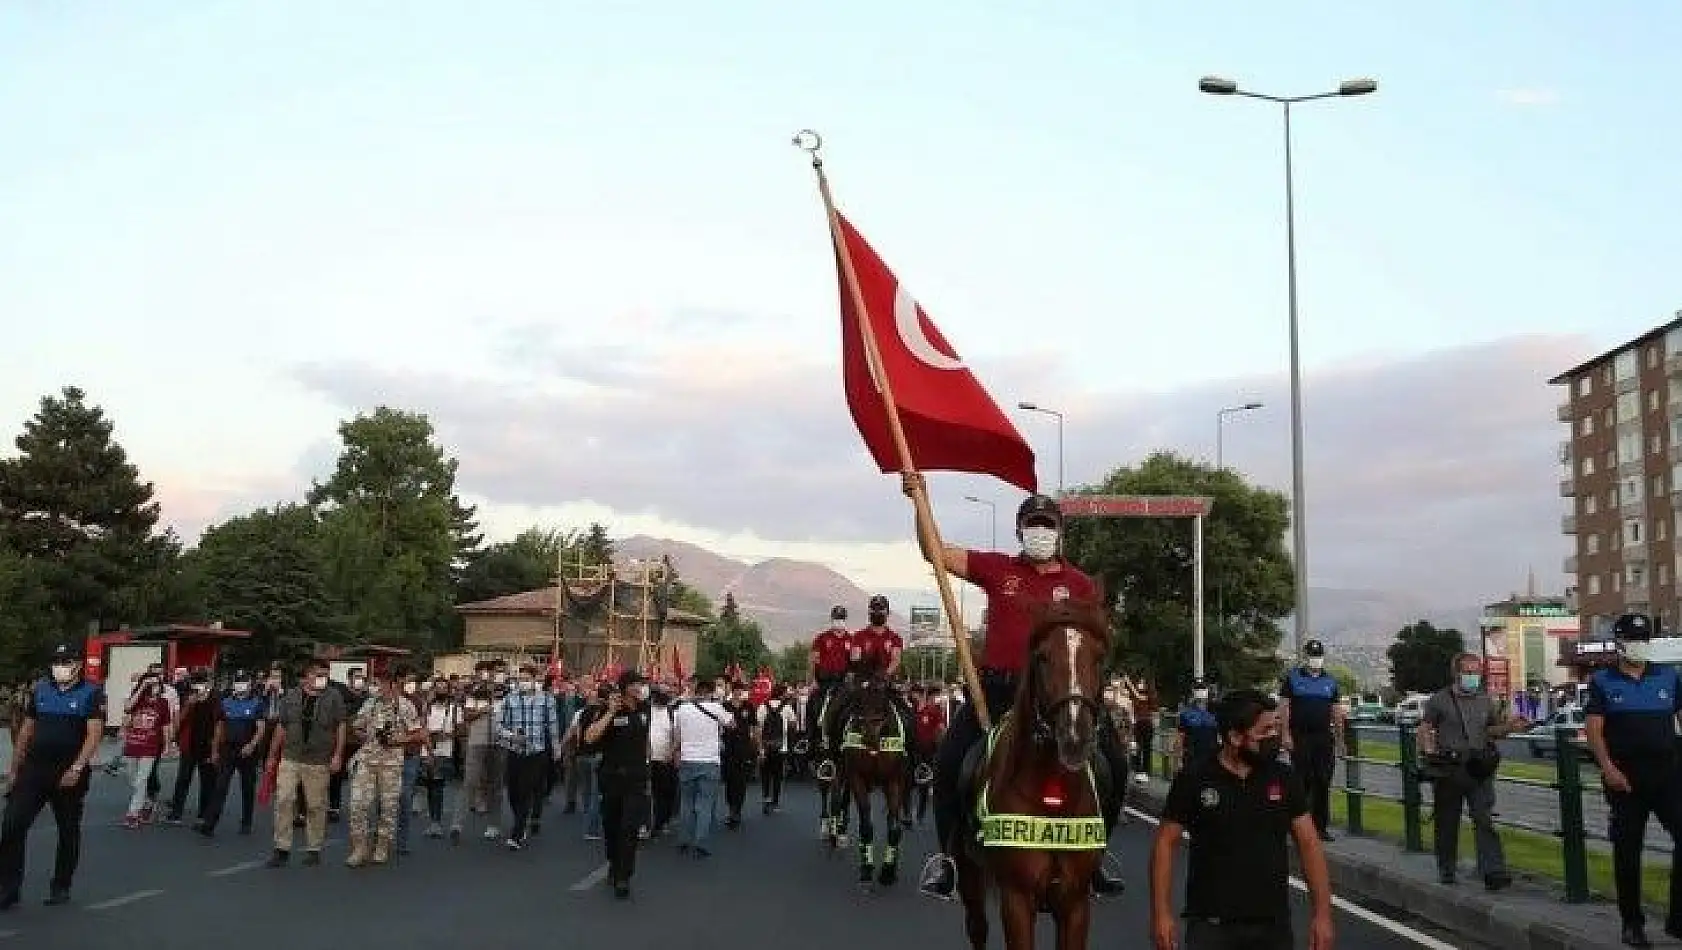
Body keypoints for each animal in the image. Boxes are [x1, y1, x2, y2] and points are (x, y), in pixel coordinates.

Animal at [837, 679, 908, 887]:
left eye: (883, 693)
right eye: (859, 697)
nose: (869, 736)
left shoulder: (895, 781)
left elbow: (894, 826)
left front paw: (888, 870)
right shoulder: (856, 778)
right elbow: (866, 825)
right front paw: (867, 868)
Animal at [962, 591, 1116, 948]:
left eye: (1099, 658)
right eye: (1043, 657)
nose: (1074, 738)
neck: (1053, 796)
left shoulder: (1075, 904)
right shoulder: (1017, 900)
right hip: (969, 876)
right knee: (977, 926)